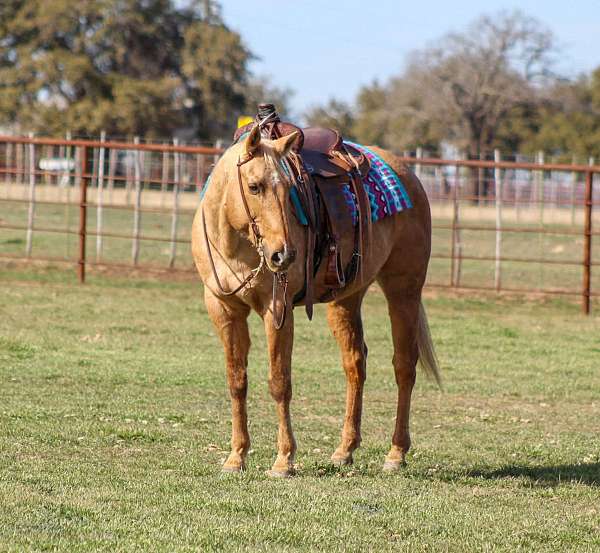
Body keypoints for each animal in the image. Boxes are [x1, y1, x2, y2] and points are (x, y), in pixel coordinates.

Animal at [193, 124, 440, 474]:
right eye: (254, 186)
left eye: (289, 189)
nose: (283, 254)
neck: (236, 244)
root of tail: (409, 175)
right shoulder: (223, 308)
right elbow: (236, 380)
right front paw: (236, 456)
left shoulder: (277, 309)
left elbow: (279, 382)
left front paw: (284, 460)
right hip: (346, 299)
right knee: (355, 363)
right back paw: (345, 449)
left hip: (404, 289)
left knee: (404, 365)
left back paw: (396, 454)